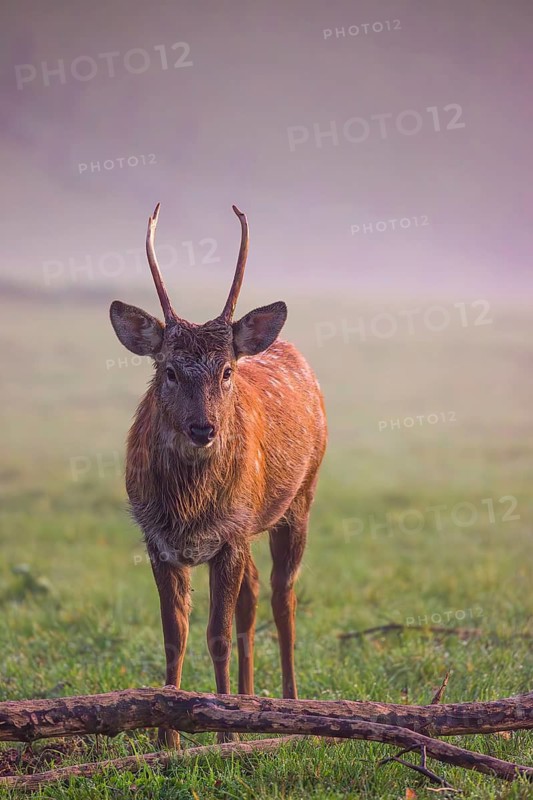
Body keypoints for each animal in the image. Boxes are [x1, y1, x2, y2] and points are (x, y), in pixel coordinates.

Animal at [109, 203, 327, 747]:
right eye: (168, 370)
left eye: (226, 371)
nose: (203, 428)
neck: (188, 510)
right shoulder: (159, 539)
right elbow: (175, 635)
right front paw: (167, 736)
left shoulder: (229, 534)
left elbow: (218, 635)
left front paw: (223, 730)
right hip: (249, 529)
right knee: (252, 593)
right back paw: (251, 701)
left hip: (300, 498)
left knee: (282, 595)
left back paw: (290, 704)